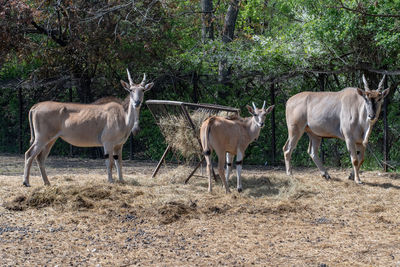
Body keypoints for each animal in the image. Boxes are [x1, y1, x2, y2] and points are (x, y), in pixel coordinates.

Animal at [22, 69, 153, 186]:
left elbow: (119, 162)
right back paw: (26, 182)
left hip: (51, 140)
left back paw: (47, 182)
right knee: (29, 154)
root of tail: (36, 106)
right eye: (131, 90)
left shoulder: (119, 145)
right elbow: (109, 162)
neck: (123, 116)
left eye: (142, 90)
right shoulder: (108, 143)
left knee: (40, 157)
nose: (137, 102)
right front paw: (110, 181)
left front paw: (121, 180)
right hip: (41, 138)